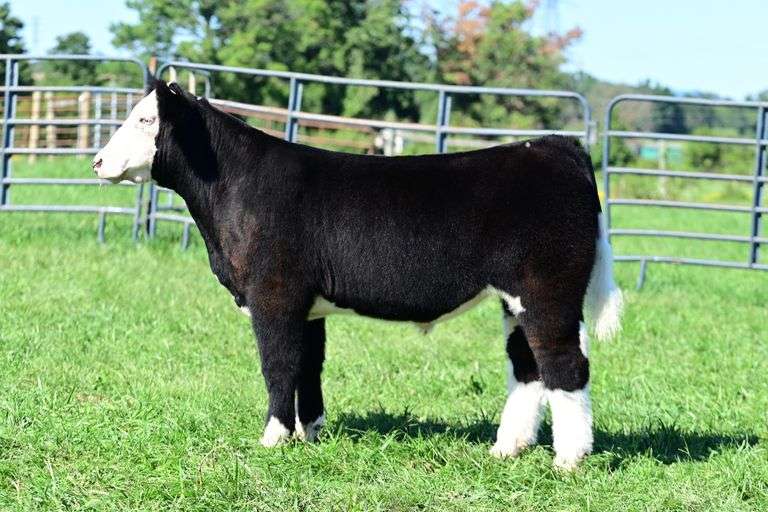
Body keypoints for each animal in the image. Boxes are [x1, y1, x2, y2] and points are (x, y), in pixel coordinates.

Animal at [92, 81, 622, 469]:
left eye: (145, 119)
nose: (97, 161)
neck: (232, 189)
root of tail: (555, 147)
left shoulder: (274, 295)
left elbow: (278, 365)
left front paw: (273, 438)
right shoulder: (308, 306)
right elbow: (309, 365)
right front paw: (310, 433)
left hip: (548, 292)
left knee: (565, 365)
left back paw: (568, 460)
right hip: (515, 300)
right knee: (528, 368)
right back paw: (506, 448)